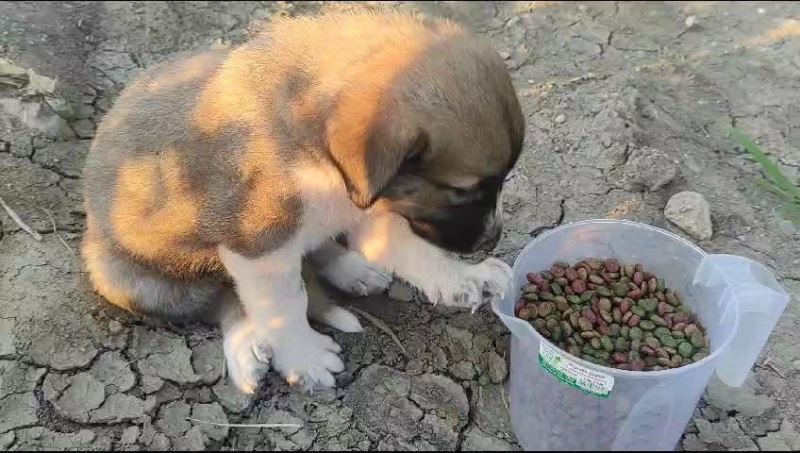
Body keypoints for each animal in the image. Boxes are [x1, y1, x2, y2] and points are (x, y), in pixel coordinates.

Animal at [81, 9, 524, 392]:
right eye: (463, 190)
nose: (493, 238)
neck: (320, 159)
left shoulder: (365, 208)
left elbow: (410, 249)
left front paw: (462, 277)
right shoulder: (259, 246)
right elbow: (285, 305)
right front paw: (304, 356)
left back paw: (352, 269)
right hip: (136, 281)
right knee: (221, 299)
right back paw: (245, 349)